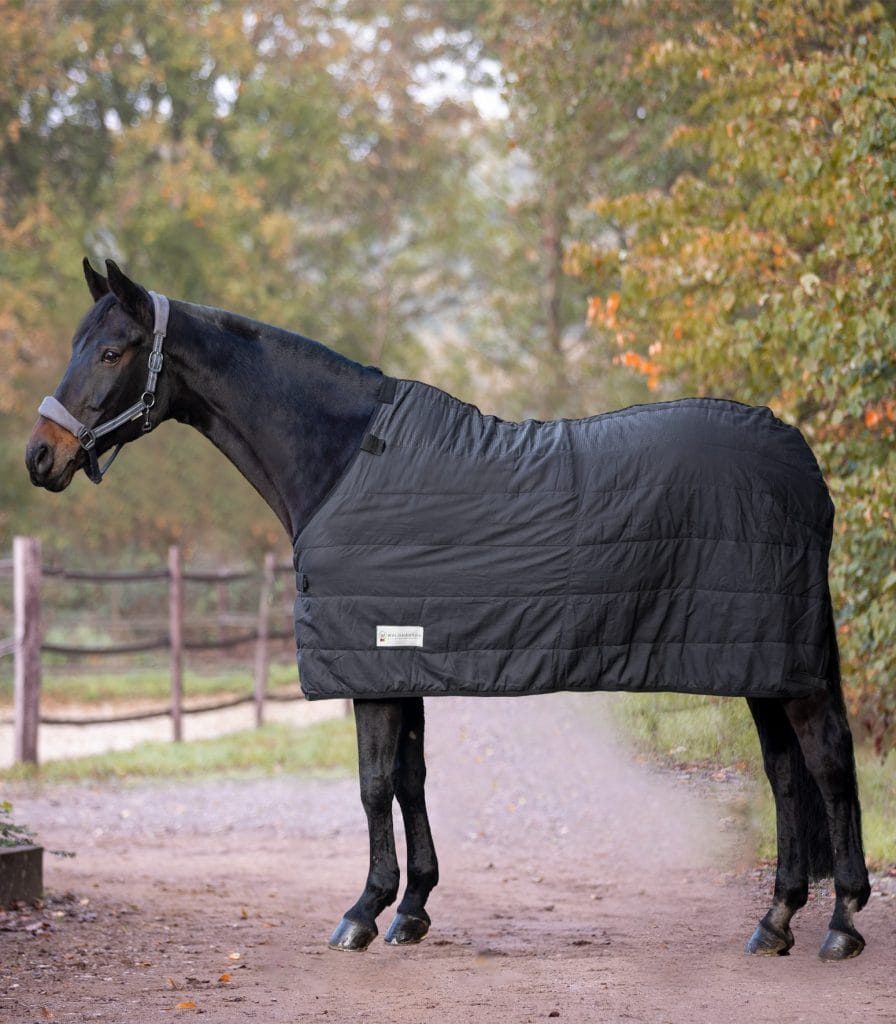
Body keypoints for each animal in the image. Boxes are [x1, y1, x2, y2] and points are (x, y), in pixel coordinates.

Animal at [25, 259, 870, 961]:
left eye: (113, 352)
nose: (41, 457)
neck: (342, 462)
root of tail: (800, 458)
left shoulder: (369, 662)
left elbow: (373, 784)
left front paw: (362, 912)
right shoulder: (399, 660)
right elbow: (411, 779)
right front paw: (412, 909)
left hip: (782, 664)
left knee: (827, 763)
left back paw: (840, 924)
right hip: (760, 663)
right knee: (785, 773)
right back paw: (776, 920)